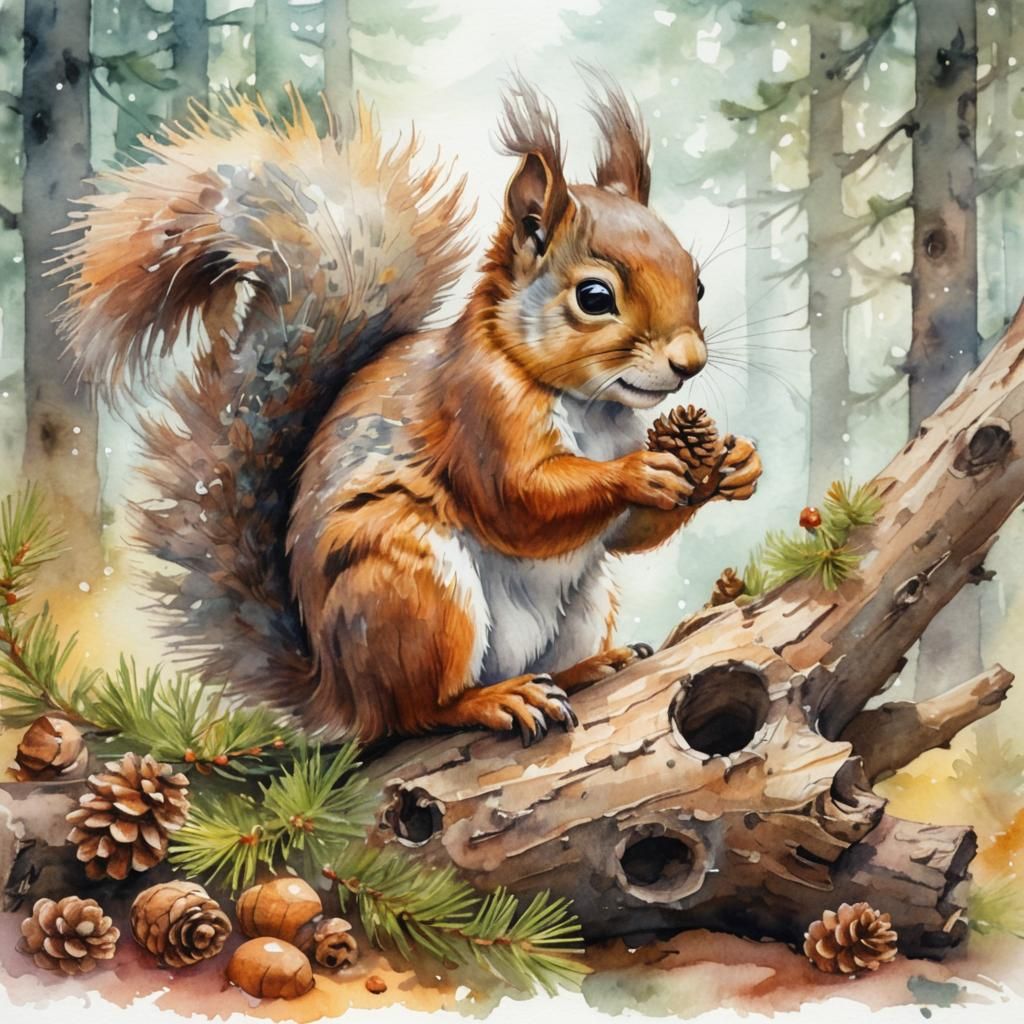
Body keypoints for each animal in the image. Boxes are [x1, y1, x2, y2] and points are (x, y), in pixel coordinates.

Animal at [57, 74, 761, 746]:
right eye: (594, 297)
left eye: (697, 281)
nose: (690, 361)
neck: (591, 406)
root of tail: (339, 693)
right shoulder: (475, 410)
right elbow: (518, 499)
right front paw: (640, 472)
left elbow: (623, 535)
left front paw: (733, 464)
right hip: (413, 588)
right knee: (416, 713)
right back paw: (495, 699)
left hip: (583, 598)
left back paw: (590, 667)